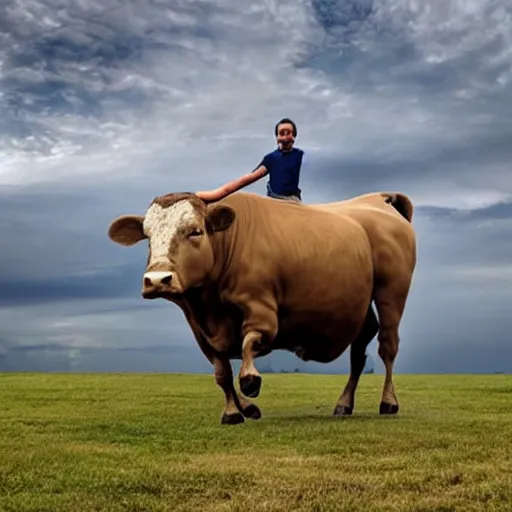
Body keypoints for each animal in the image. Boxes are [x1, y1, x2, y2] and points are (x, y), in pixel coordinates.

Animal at [108, 190, 416, 426]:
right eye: (148, 236)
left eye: (195, 232)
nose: (156, 280)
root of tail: (380, 199)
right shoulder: (201, 332)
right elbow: (222, 373)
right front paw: (237, 411)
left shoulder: (262, 310)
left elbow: (250, 343)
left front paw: (251, 381)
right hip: (360, 309)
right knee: (359, 352)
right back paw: (344, 404)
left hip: (391, 293)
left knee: (387, 346)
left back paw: (388, 402)